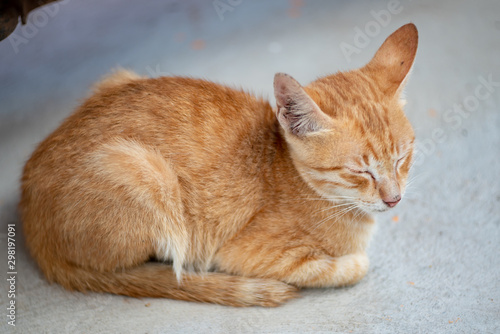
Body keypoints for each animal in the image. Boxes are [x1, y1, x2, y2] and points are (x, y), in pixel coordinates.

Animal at [19, 22, 418, 306]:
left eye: (402, 158)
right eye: (360, 171)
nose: (394, 199)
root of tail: (28, 217)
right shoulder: (250, 255)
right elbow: (352, 268)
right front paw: (353, 262)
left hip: (119, 79)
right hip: (145, 174)